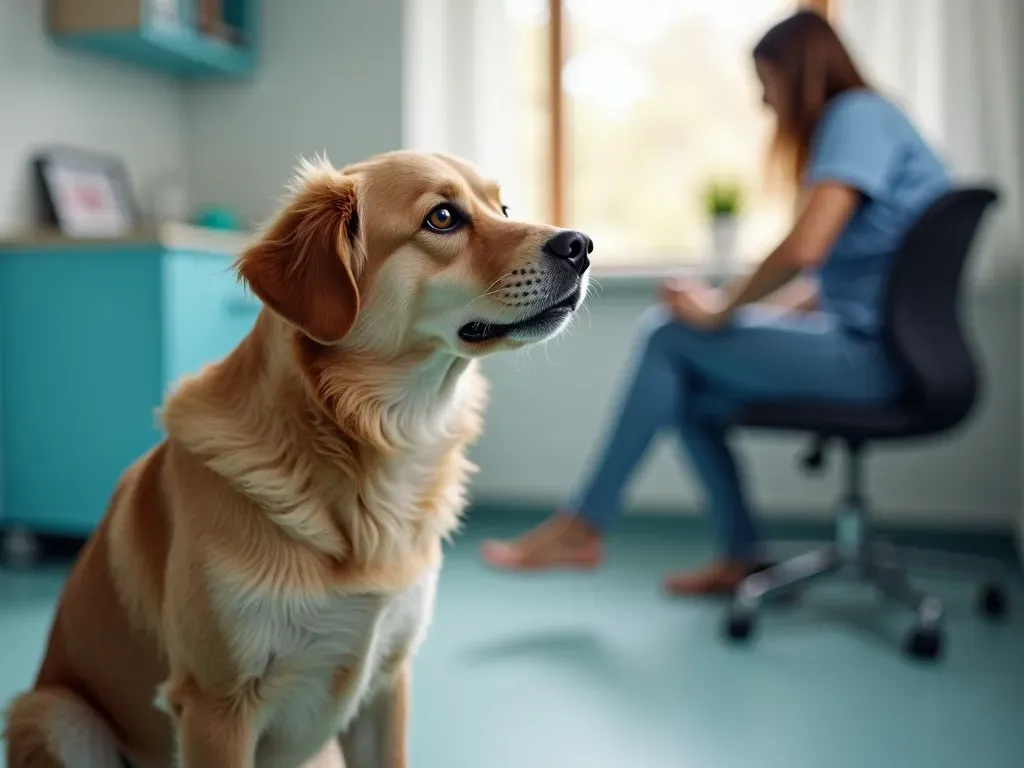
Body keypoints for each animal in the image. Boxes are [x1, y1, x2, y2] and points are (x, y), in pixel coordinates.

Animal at [4, 151, 593, 768]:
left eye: (502, 208)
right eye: (443, 217)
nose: (580, 244)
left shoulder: (386, 683)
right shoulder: (217, 706)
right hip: (54, 713)